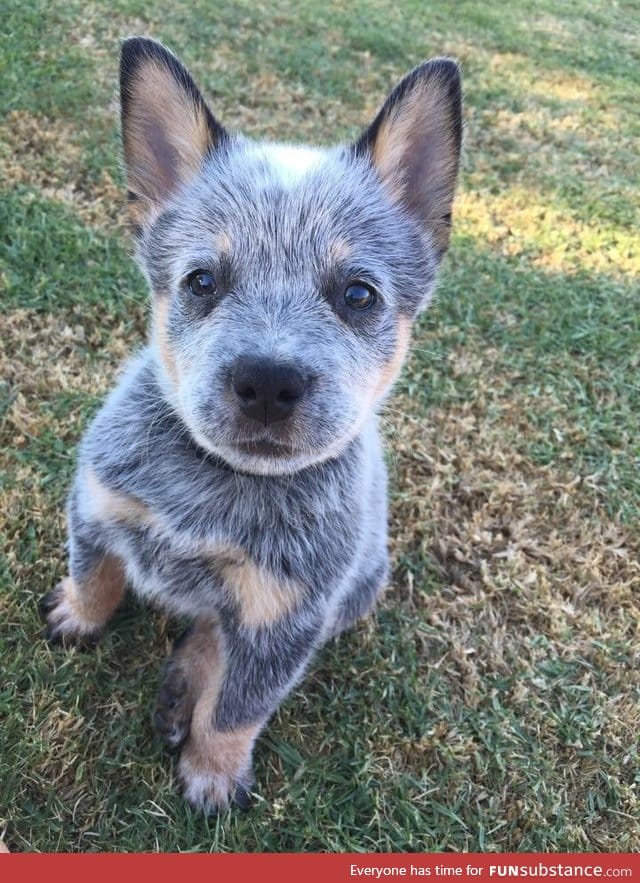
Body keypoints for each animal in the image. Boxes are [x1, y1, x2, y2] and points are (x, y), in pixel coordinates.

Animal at [45, 39, 462, 816]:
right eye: (202, 281)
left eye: (358, 294)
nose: (269, 380)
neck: (211, 493)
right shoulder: (94, 500)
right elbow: (95, 573)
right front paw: (79, 616)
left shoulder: (286, 619)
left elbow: (238, 709)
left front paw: (212, 773)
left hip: (359, 586)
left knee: (217, 636)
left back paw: (185, 685)